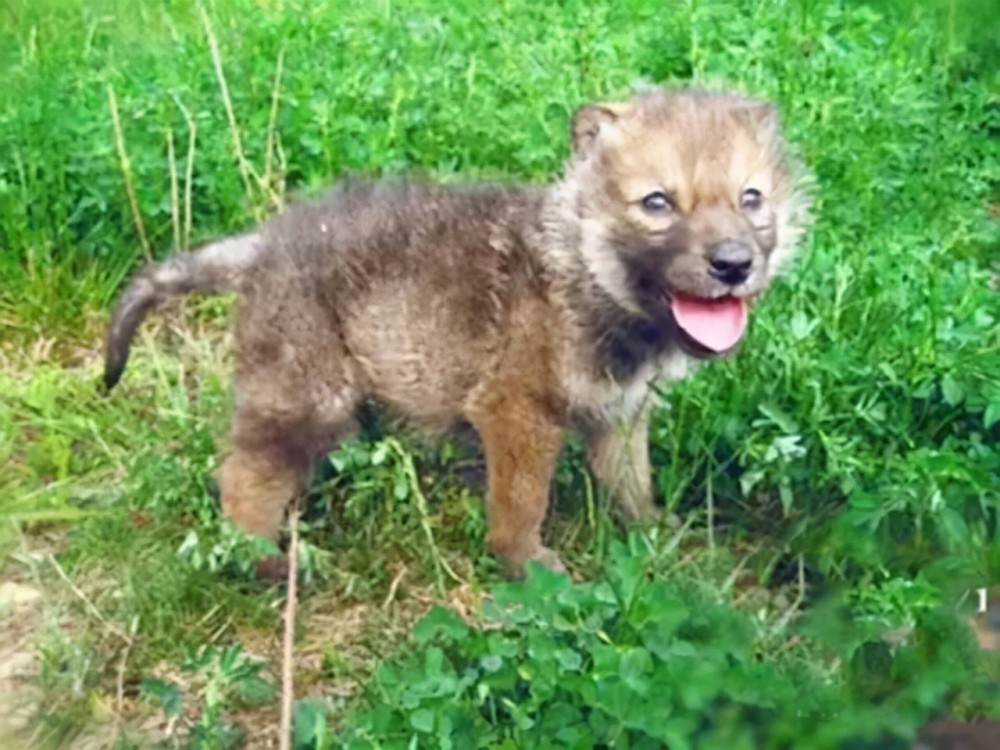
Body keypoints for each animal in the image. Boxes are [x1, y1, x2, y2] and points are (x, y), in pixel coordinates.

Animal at [105, 89, 812, 580]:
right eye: (658, 203)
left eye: (751, 199)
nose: (734, 265)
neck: (581, 273)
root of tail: (260, 246)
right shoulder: (516, 411)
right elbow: (521, 504)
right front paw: (529, 569)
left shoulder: (620, 412)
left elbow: (632, 485)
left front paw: (660, 534)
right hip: (308, 392)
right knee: (242, 482)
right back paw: (267, 561)